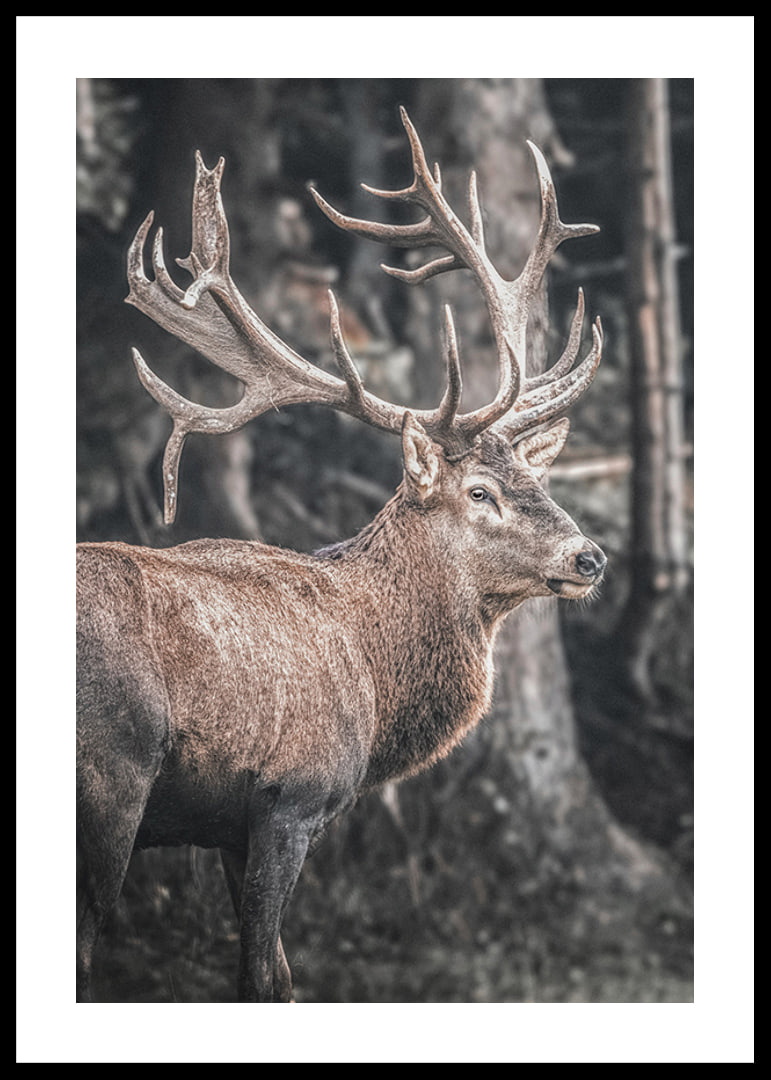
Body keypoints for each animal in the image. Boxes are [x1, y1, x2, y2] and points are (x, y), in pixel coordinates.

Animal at [76, 107, 606, 1003]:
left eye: (534, 477)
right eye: (479, 493)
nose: (590, 557)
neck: (373, 672)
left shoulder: (227, 827)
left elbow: (279, 977)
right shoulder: (291, 795)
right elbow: (265, 977)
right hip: (110, 778)